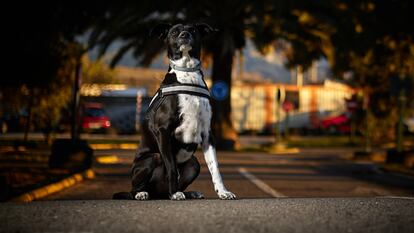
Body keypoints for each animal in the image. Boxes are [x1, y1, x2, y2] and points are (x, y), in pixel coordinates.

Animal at [113, 23, 236, 201]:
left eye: (193, 30)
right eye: (174, 32)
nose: (184, 35)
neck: (188, 72)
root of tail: (157, 193)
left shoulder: (207, 133)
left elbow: (215, 168)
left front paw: (223, 192)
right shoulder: (163, 130)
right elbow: (171, 166)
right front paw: (175, 193)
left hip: (193, 163)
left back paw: (187, 192)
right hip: (152, 158)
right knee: (135, 188)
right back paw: (144, 193)